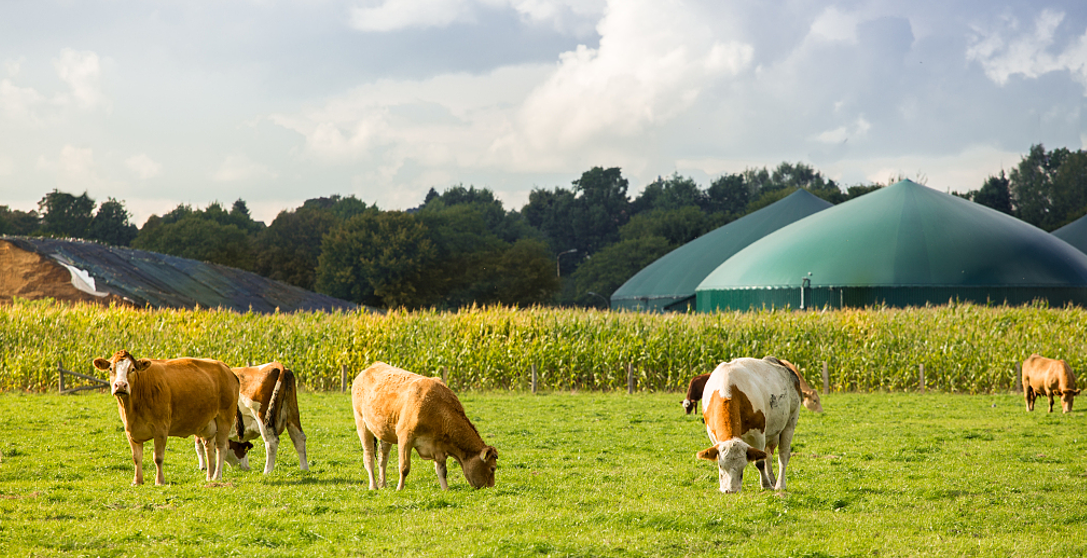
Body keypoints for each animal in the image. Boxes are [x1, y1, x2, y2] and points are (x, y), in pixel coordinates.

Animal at [93, 350, 239, 486]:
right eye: (111, 369)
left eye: (132, 369)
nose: (120, 385)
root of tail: (225, 368)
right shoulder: (130, 431)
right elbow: (136, 457)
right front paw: (137, 481)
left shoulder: (161, 428)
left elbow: (158, 457)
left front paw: (159, 481)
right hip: (207, 424)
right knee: (210, 448)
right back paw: (209, 477)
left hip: (225, 419)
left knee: (221, 448)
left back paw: (217, 477)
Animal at [351, 362, 498, 491]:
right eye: (492, 468)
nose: (491, 487)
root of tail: (371, 367)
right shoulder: (405, 437)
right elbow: (404, 468)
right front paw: (400, 488)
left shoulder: (438, 446)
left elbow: (442, 471)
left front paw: (446, 489)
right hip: (361, 423)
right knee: (369, 457)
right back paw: (374, 486)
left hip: (385, 430)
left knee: (383, 458)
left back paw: (383, 484)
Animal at [696, 357, 801, 493]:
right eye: (720, 465)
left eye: (742, 467)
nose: (731, 490)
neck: (727, 390)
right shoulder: (713, 435)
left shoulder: (758, 433)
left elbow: (759, 462)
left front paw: (765, 485)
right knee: (769, 455)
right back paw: (773, 480)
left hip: (790, 421)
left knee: (783, 455)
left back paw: (779, 485)